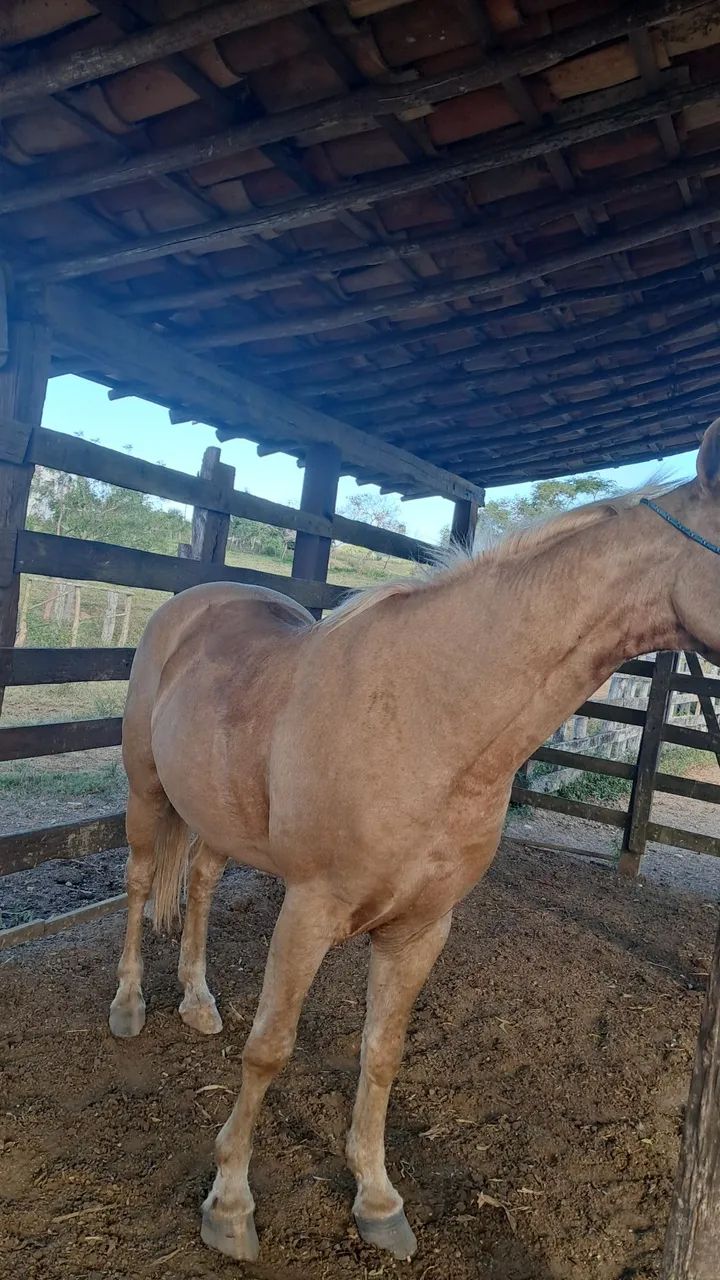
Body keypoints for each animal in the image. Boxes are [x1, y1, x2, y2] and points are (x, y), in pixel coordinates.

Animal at [109, 419, 720, 1264]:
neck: (431, 717)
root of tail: (193, 603)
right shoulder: (308, 911)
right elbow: (271, 1047)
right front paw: (229, 1206)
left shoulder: (421, 929)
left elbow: (382, 1054)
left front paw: (376, 1198)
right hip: (146, 791)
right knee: (140, 883)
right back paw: (129, 1005)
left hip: (216, 814)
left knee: (198, 883)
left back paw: (198, 1001)